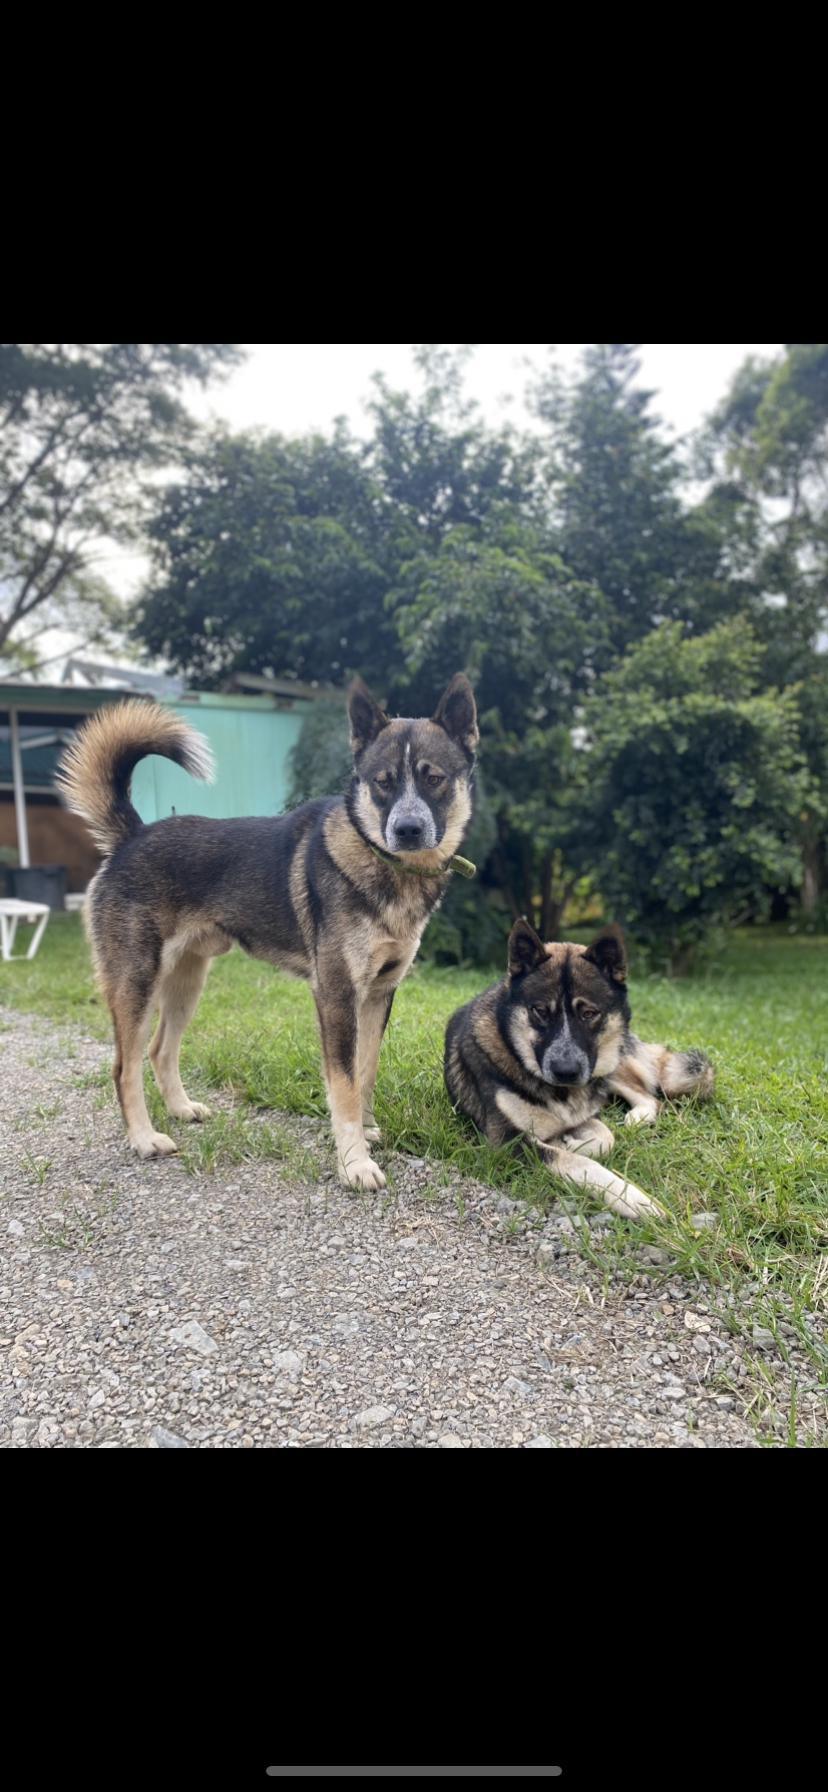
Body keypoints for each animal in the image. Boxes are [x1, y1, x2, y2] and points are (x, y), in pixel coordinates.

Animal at [58, 673, 480, 1189]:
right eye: (383, 783)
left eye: (434, 778)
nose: (407, 830)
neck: (384, 865)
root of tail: (132, 836)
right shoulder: (337, 995)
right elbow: (343, 1084)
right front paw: (354, 1162)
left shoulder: (380, 993)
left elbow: (366, 1071)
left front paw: (366, 1132)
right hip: (136, 981)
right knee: (124, 1067)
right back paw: (144, 1138)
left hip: (187, 981)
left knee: (160, 1050)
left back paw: (181, 1109)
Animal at [442, 924, 713, 1218]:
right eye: (540, 1011)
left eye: (589, 1013)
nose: (566, 1071)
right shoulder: (507, 1141)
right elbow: (580, 1161)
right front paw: (634, 1200)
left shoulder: (583, 1112)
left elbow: (607, 1137)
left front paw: (571, 1142)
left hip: (610, 1064)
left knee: (649, 1097)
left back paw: (636, 1118)